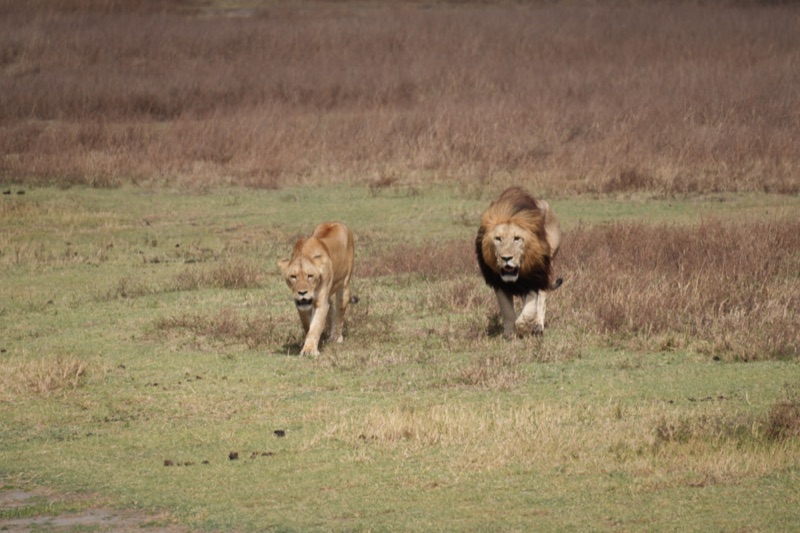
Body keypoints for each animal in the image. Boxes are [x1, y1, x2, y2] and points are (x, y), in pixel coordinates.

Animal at [278, 222, 355, 356]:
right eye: (293, 276)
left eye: (310, 276)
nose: (302, 293)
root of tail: (335, 222)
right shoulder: (300, 305)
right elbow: (308, 325)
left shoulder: (320, 302)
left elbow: (315, 326)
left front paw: (309, 350)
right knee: (331, 308)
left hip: (344, 287)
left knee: (339, 313)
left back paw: (336, 338)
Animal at [475, 187, 562, 338]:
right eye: (498, 238)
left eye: (517, 238)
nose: (506, 258)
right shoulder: (498, 283)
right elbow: (507, 311)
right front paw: (509, 334)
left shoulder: (534, 276)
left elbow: (528, 310)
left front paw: (523, 328)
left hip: (548, 262)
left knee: (542, 297)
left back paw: (538, 325)